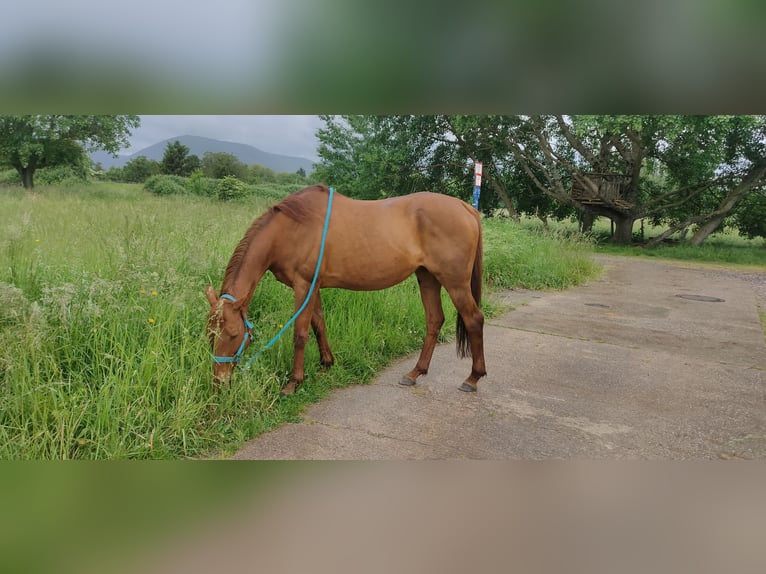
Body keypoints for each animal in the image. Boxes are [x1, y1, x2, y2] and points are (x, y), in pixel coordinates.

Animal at [206, 184, 486, 396]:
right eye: (210, 333)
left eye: (233, 334)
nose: (219, 383)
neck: (290, 229)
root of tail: (466, 208)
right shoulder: (314, 287)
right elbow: (319, 324)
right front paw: (326, 364)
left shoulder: (303, 285)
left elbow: (300, 334)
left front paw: (294, 382)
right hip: (427, 277)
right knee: (434, 320)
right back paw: (415, 373)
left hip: (455, 282)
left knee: (474, 320)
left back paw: (473, 378)